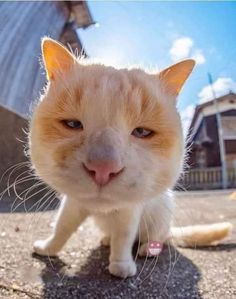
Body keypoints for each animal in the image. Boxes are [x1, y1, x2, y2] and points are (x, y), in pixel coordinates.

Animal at [29, 38, 232, 280]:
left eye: (142, 132)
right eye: (72, 124)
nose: (103, 168)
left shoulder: (131, 208)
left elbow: (124, 236)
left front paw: (121, 265)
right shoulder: (73, 203)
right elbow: (62, 227)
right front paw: (48, 249)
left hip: (161, 215)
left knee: (157, 238)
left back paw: (147, 249)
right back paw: (106, 239)